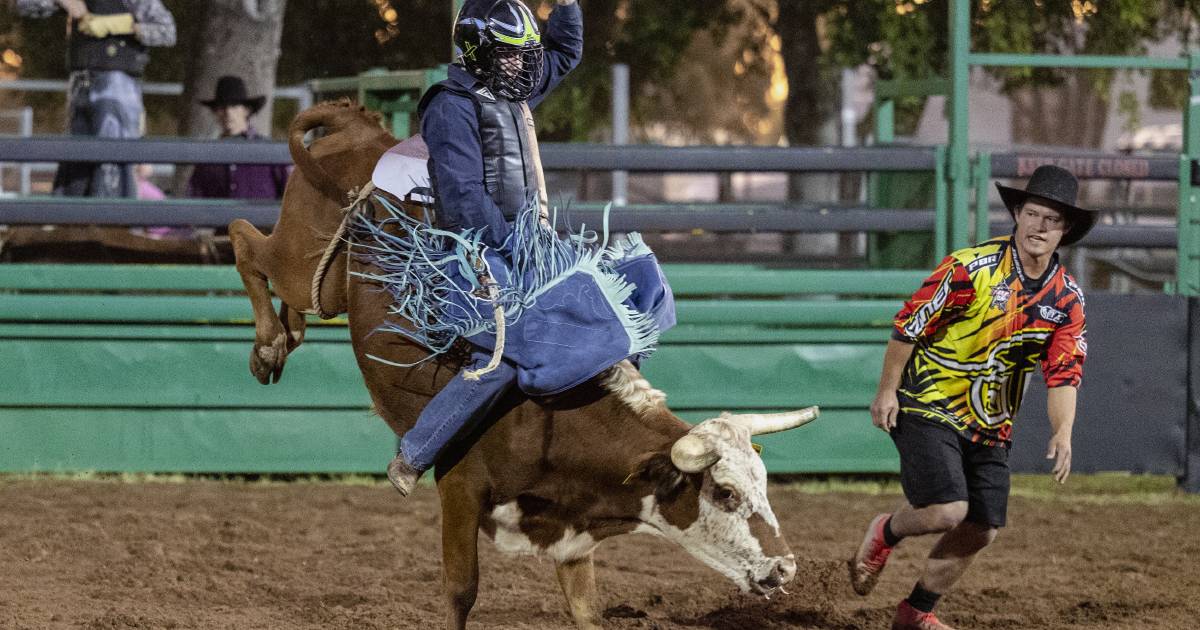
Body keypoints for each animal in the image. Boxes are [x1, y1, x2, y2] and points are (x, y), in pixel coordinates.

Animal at [229, 100, 820, 624]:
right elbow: (461, 592)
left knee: (293, 292)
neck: (550, 418)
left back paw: (281, 339)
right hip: (299, 254)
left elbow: (586, 611)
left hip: (325, 285)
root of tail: (362, 130)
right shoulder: (460, 489)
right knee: (244, 239)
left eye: (763, 482)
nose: (785, 569)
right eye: (724, 493)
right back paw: (268, 343)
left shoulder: (572, 534)